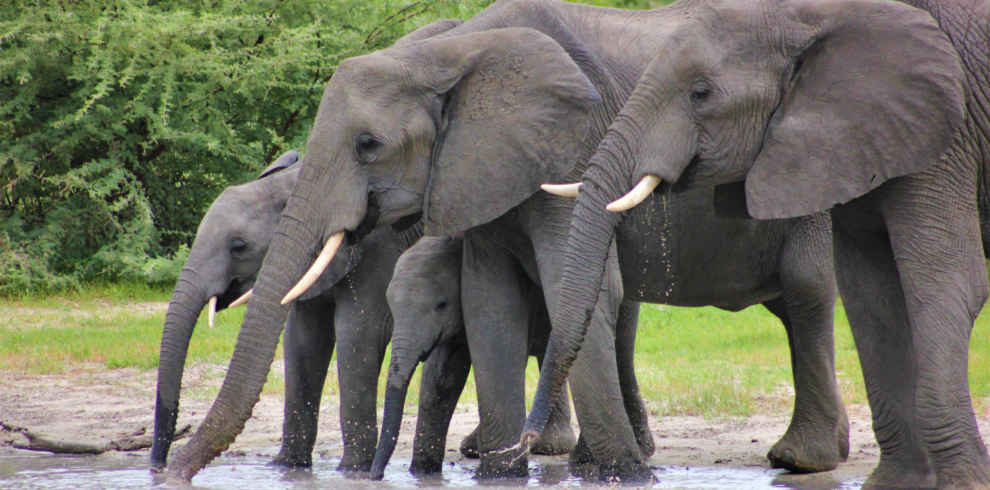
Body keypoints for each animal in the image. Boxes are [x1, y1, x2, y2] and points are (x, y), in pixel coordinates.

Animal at [524, 0, 988, 490]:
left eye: (701, 94)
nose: (523, 441)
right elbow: (873, 298)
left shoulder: (934, 140)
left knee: (805, 289)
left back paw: (800, 458)